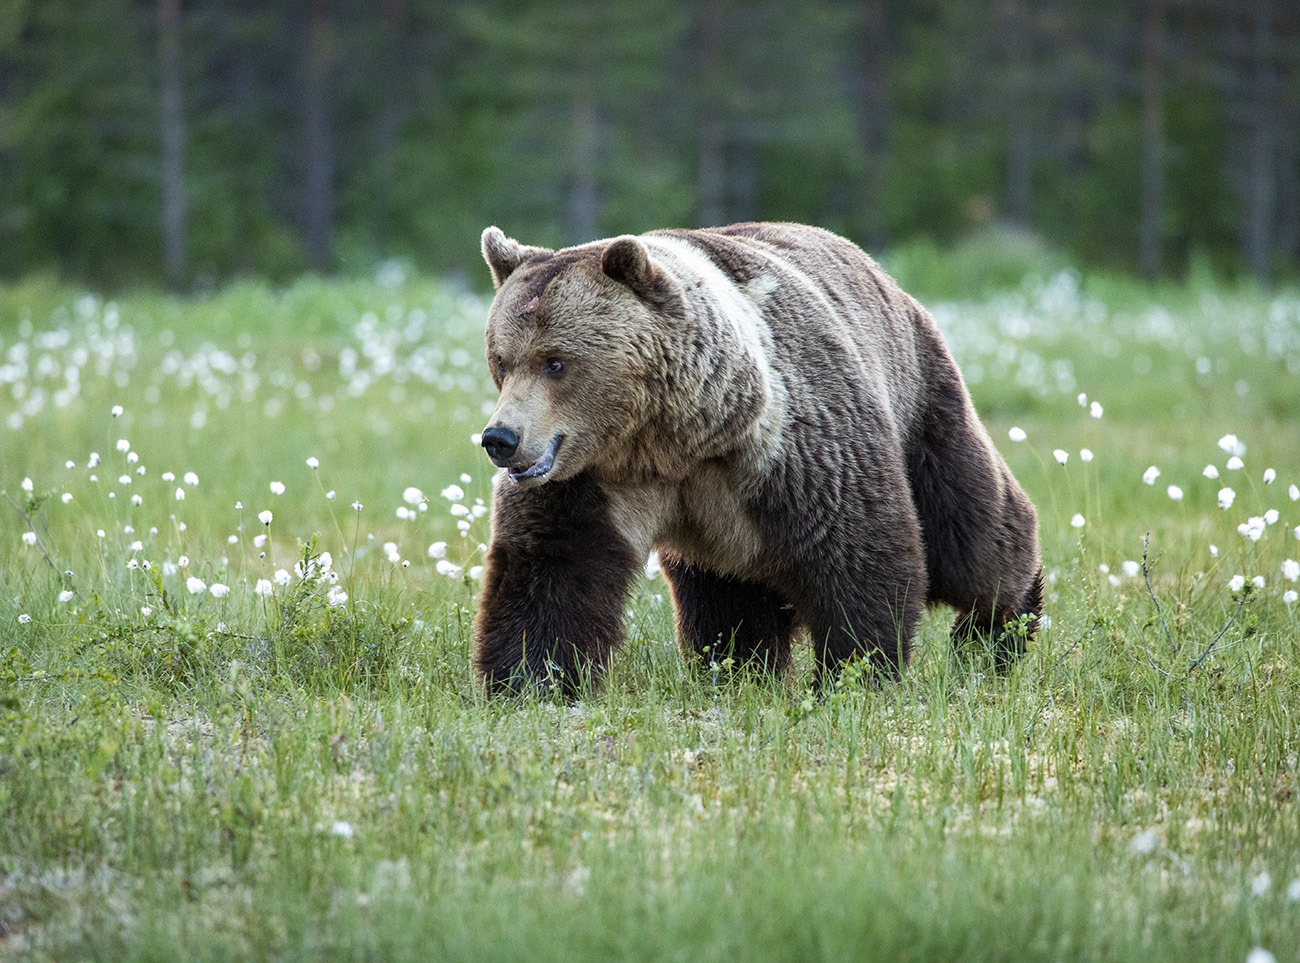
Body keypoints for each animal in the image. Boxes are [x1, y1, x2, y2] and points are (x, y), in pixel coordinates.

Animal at [473, 222, 1040, 696]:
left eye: (556, 361)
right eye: (501, 360)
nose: (500, 438)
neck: (673, 441)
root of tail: (891, 280)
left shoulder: (796, 445)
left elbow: (858, 551)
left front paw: (855, 675)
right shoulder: (593, 479)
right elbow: (554, 568)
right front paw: (527, 682)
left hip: (921, 399)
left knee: (969, 532)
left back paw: (1004, 630)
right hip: (725, 537)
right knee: (730, 600)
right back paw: (740, 670)